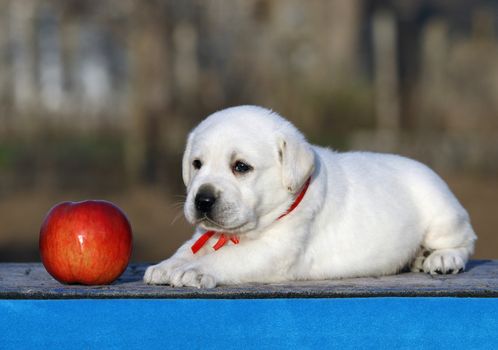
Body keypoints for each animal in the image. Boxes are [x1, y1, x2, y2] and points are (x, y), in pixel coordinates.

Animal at [143, 106, 474, 288]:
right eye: (197, 164)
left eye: (241, 167)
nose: (202, 200)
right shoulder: (207, 234)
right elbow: (189, 249)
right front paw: (168, 265)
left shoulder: (275, 251)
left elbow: (227, 258)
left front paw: (194, 270)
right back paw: (420, 257)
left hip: (442, 215)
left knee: (465, 241)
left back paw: (441, 258)